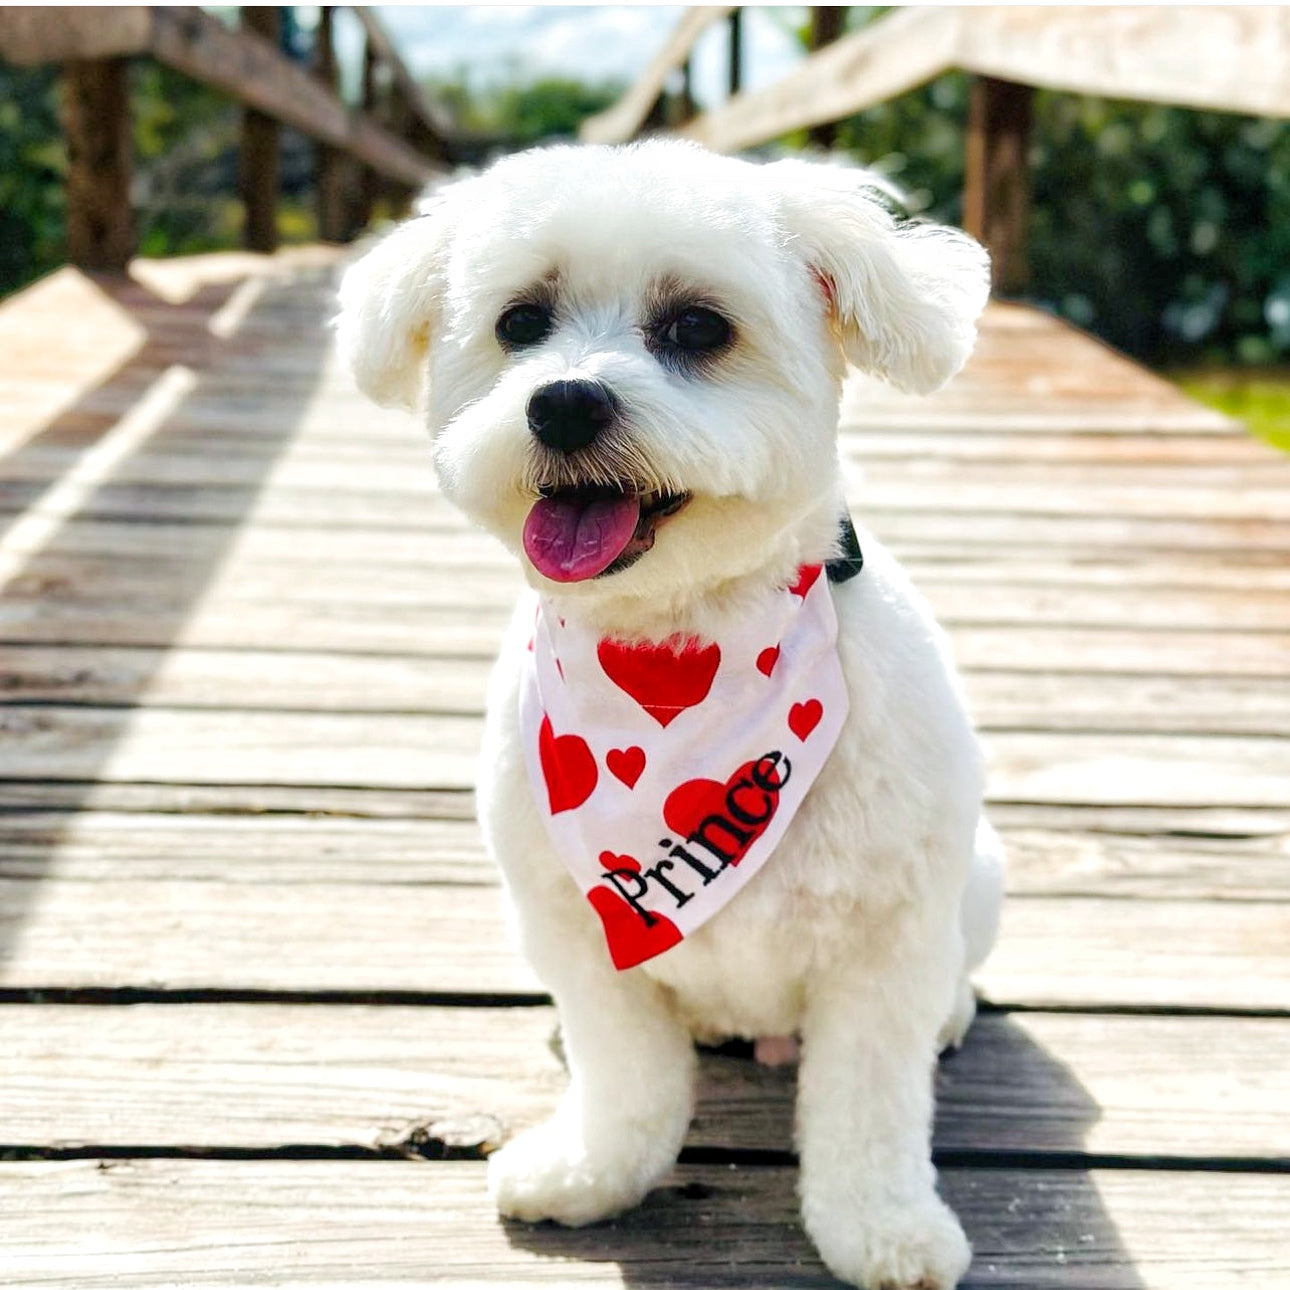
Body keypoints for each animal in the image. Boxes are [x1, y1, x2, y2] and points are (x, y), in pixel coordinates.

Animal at [337, 141, 1001, 1290]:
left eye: (698, 327)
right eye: (521, 322)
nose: (562, 404)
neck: (677, 645)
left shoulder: (882, 948)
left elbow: (870, 1108)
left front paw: (884, 1228)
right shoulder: (578, 929)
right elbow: (628, 1078)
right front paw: (593, 1171)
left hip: (983, 876)